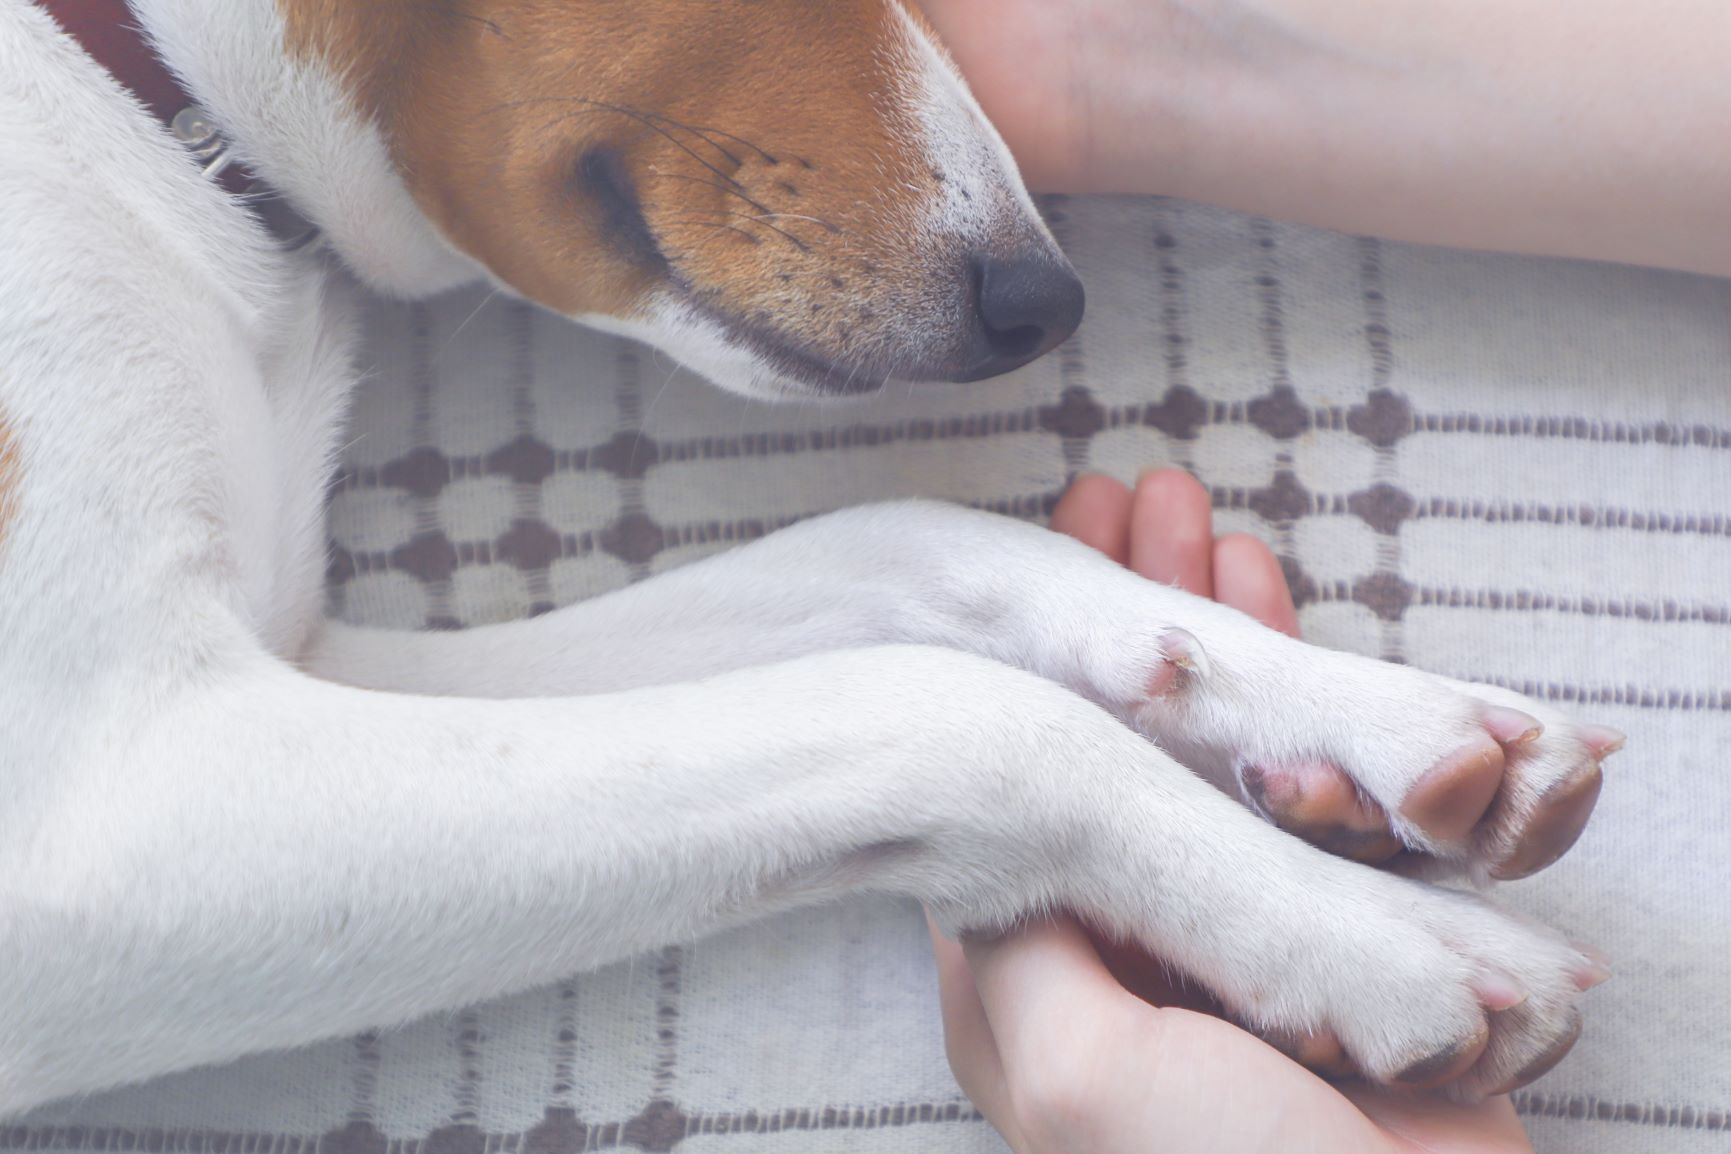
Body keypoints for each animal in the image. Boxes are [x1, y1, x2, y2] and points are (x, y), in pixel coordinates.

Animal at [0, 0, 1620, 1121]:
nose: (1042, 299)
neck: (144, 103)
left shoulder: (293, 659)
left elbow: (907, 541)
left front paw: (1363, 719)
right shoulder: (108, 808)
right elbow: (950, 711)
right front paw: (1370, 935)